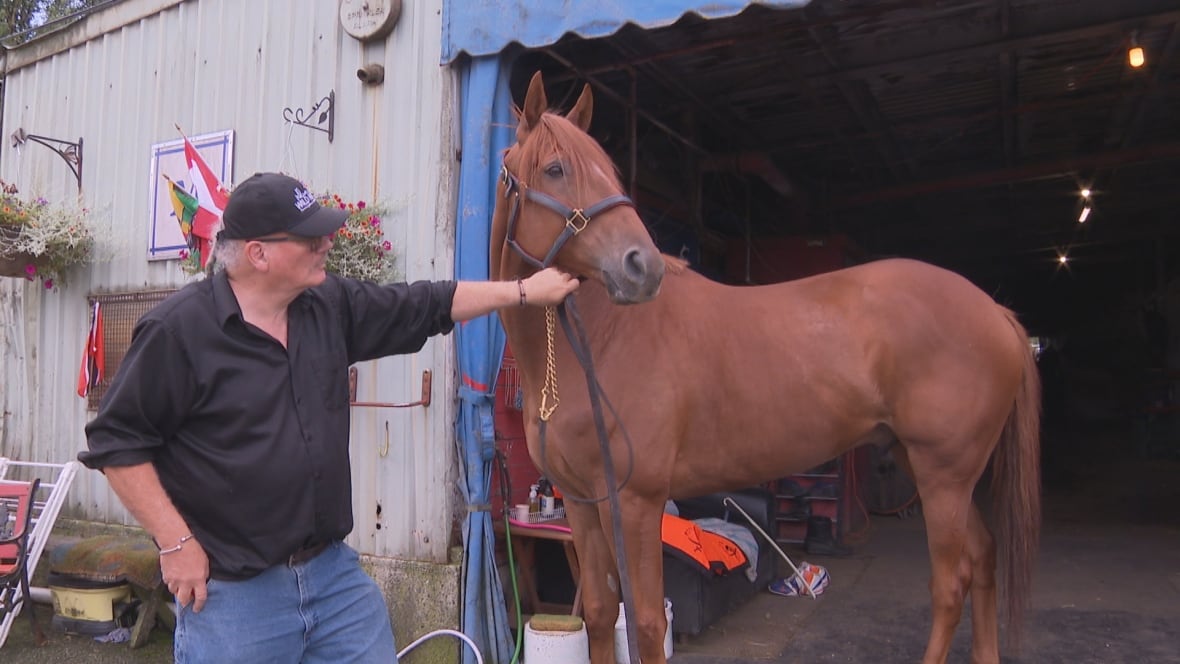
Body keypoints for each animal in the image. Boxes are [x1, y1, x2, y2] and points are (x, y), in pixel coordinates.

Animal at [493, 71, 1041, 664]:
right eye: (555, 169)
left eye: (609, 171)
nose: (643, 267)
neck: (596, 341)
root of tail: (995, 311)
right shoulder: (582, 502)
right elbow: (596, 613)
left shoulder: (637, 501)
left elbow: (644, 622)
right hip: (933, 468)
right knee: (984, 560)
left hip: (944, 476)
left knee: (951, 584)